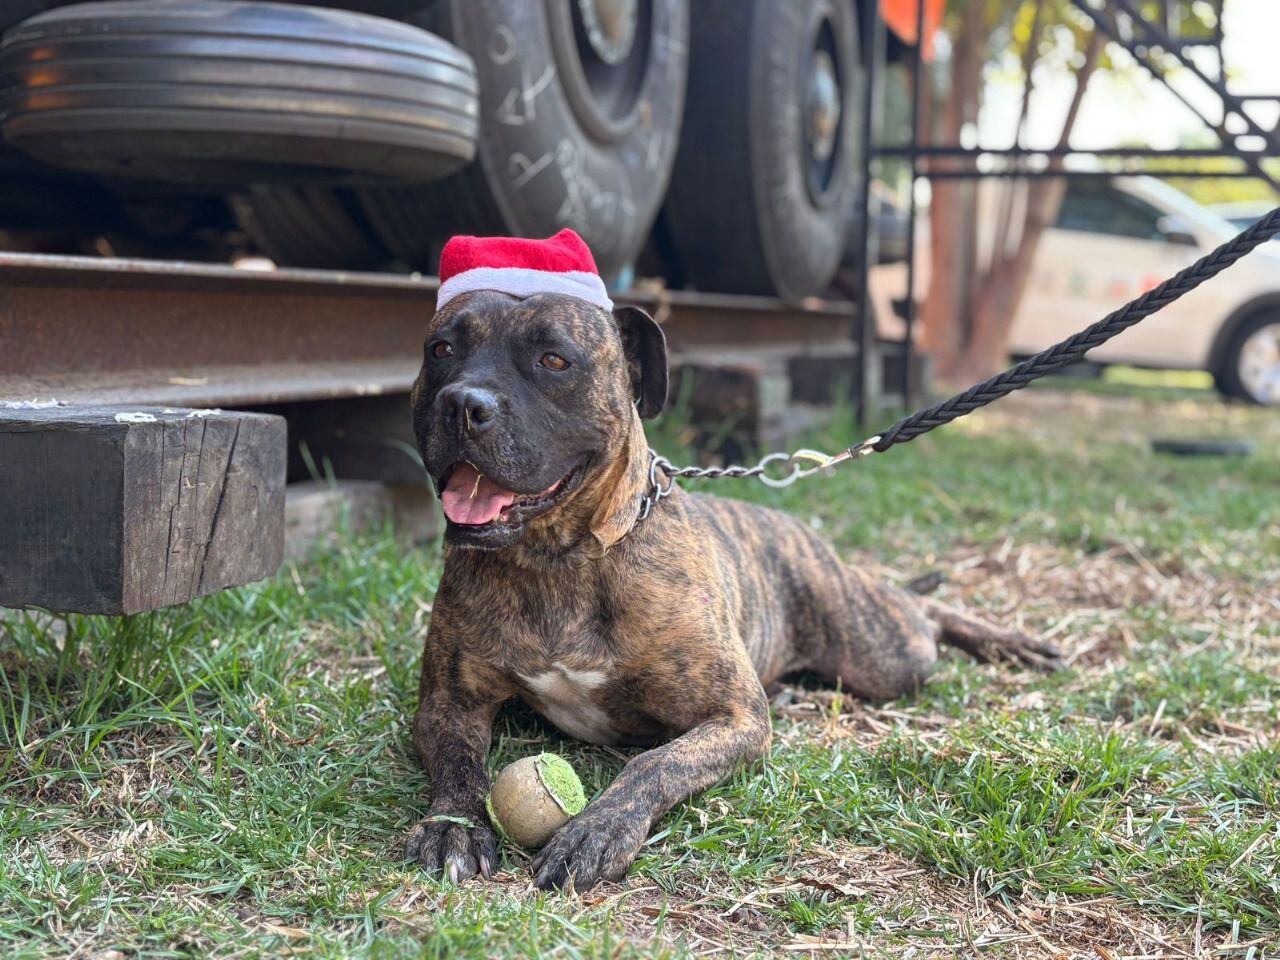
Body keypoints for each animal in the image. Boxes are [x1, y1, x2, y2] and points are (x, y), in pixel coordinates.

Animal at [401, 291, 1059, 896]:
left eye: (554, 359)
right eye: (441, 350)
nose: (462, 402)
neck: (557, 561)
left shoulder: (735, 716)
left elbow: (654, 762)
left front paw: (597, 829)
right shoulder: (448, 703)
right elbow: (459, 765)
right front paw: (454, 826)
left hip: (886, 656)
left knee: (920, 609)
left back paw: (1009, 642)